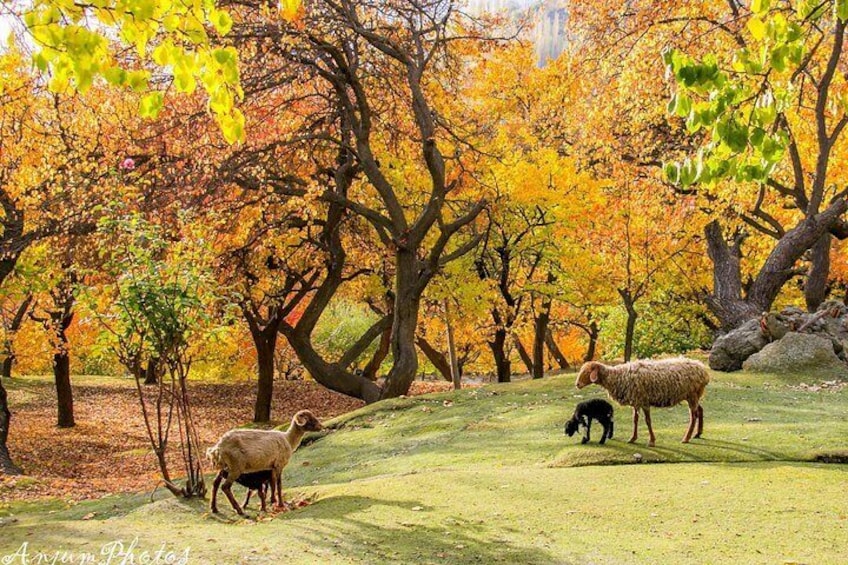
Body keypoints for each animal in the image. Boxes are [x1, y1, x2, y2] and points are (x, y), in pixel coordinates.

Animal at [576, 356, 708, 446]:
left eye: (587, 372)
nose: (577, 384)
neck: (617, 376)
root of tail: (703, 369)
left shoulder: (644, 401)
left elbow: (648, 421)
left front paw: (652, 441)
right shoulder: (636, 401)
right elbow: (635, 420)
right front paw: (632, 438)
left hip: (692, 394)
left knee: (693, 415)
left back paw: (686, 438)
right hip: (694, 395)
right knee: (700, 410)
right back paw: (698, 433)